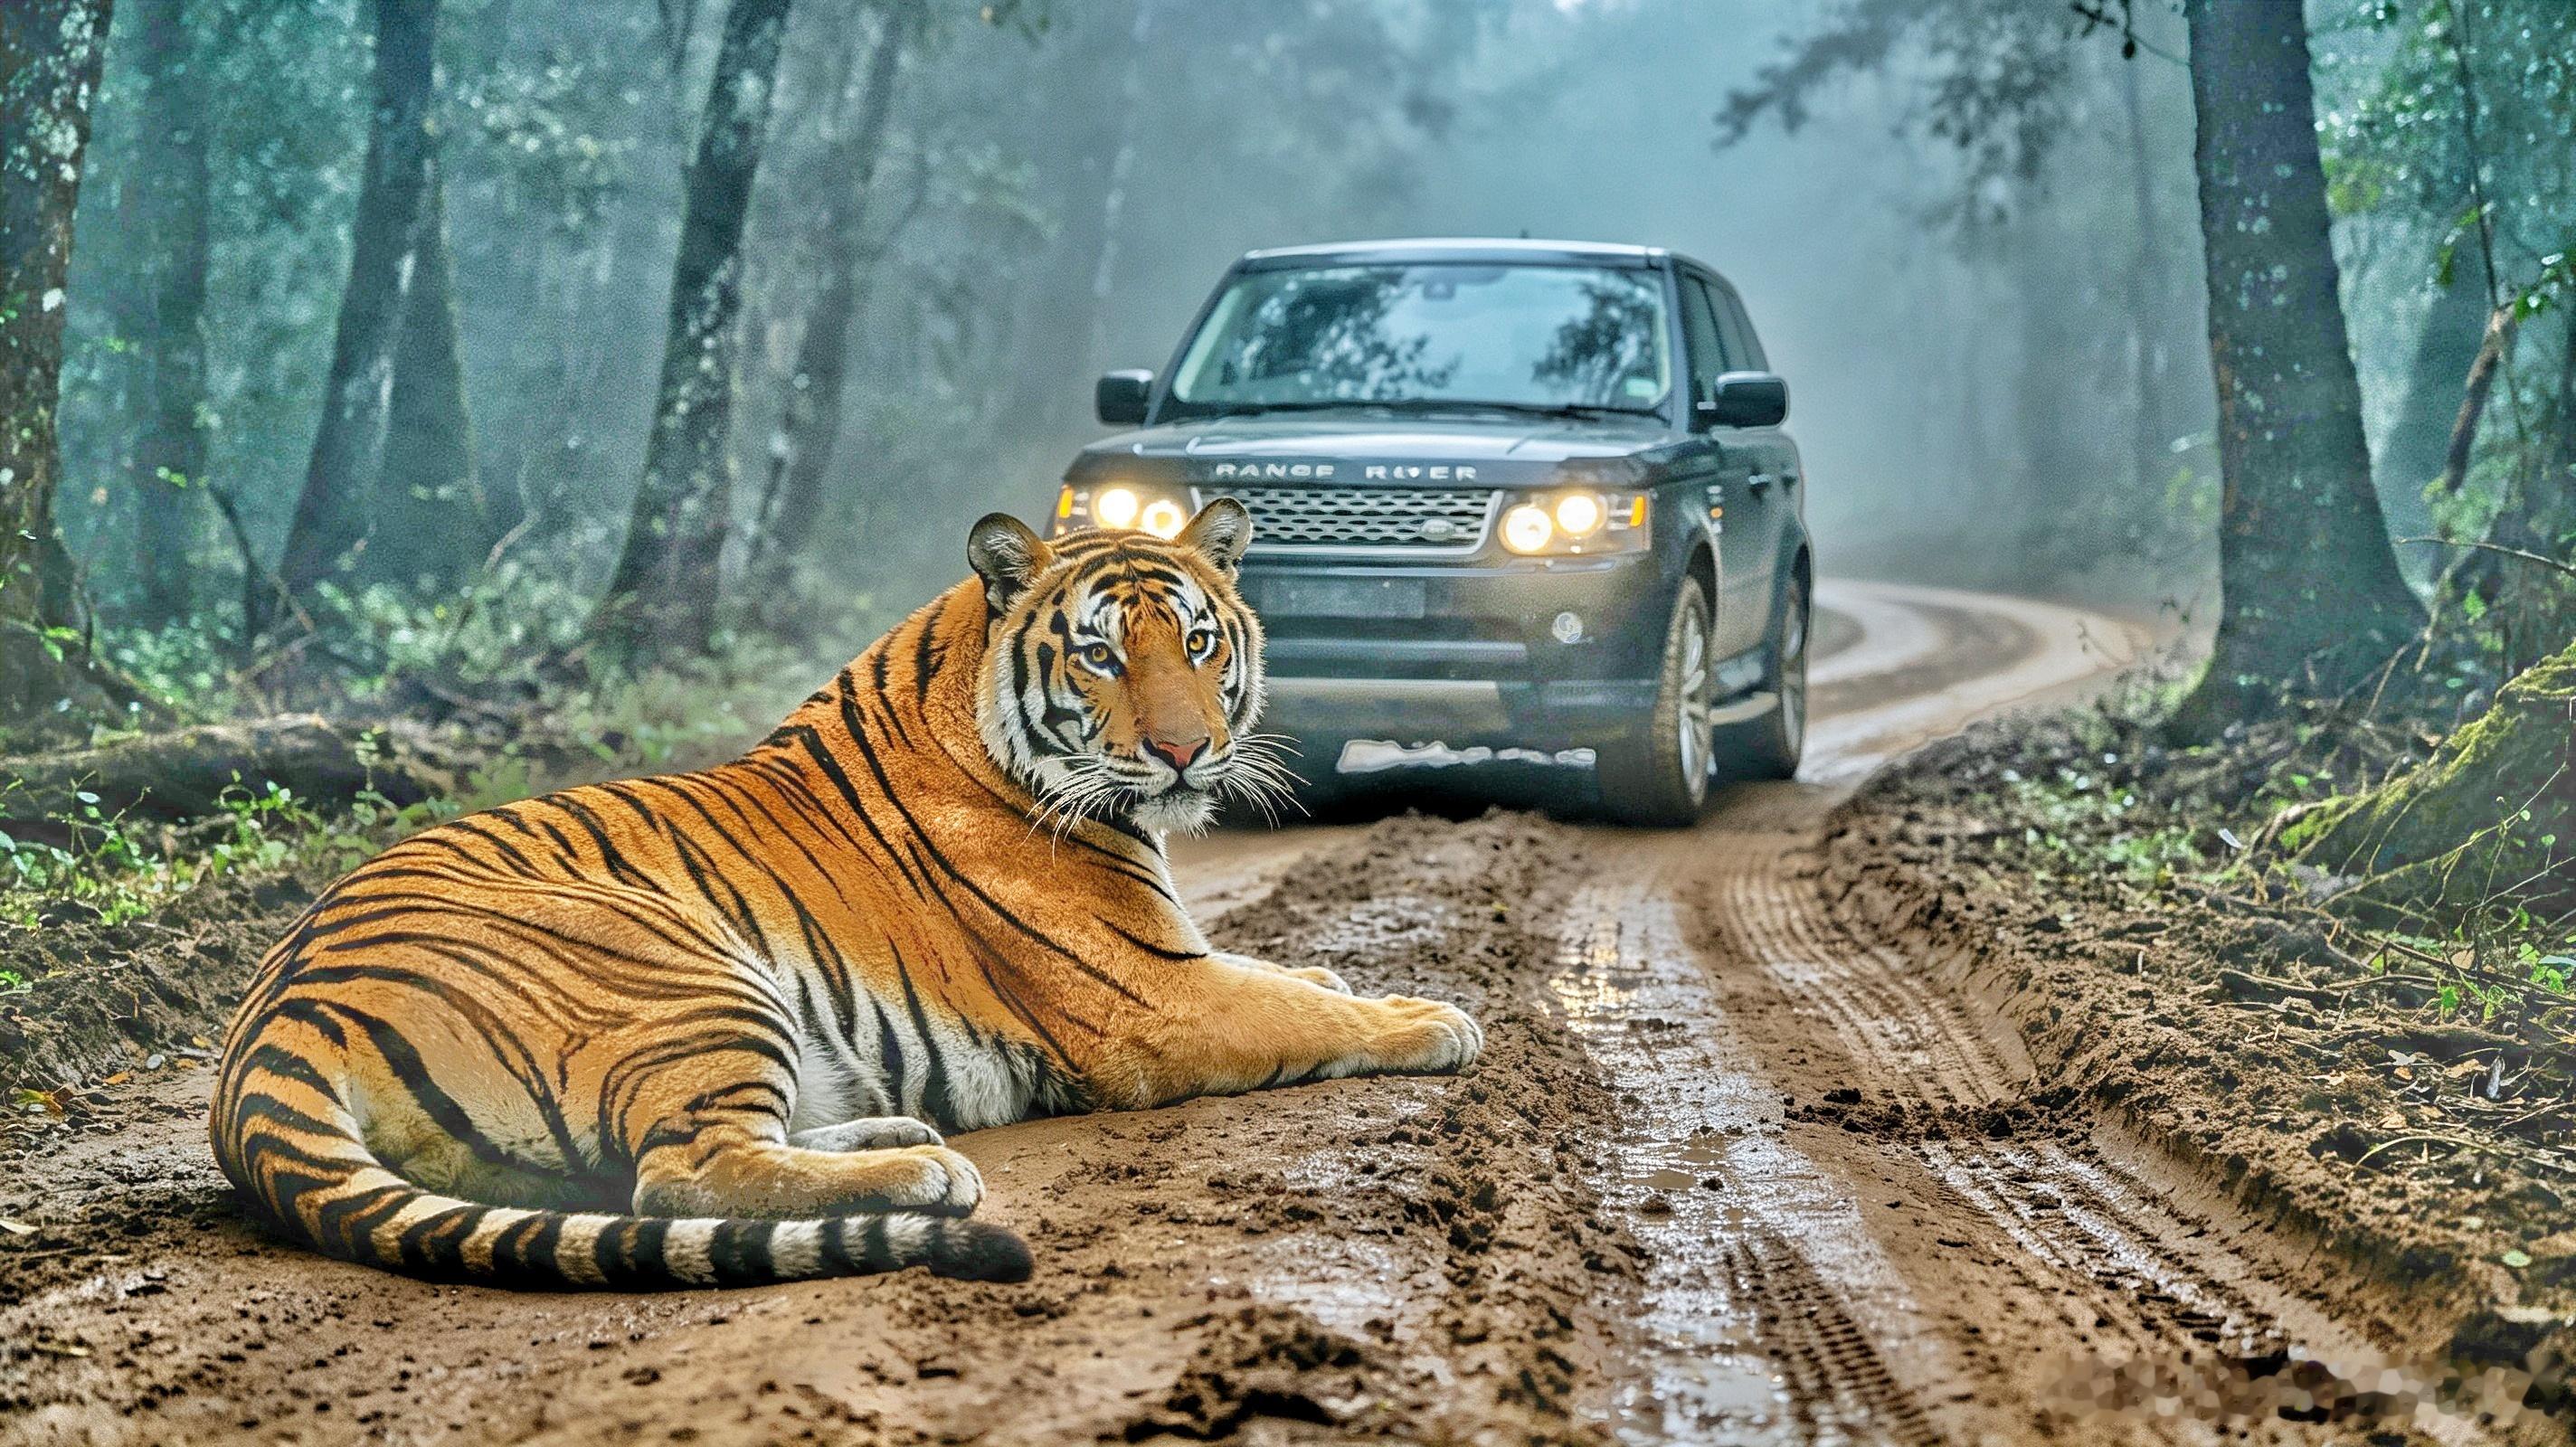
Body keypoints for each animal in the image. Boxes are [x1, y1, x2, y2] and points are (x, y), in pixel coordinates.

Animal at [210, 500, 1483, 1289]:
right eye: (1102, 655)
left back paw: (893, 1126)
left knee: (629, 1172)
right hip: (686, 970)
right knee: (680, 1173)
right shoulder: (1157, 1000)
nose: (1184, 753)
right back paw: (921, 1166)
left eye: (1201, 642)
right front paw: (1437, 1017)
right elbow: (1300, 1008)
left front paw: (1348, 974)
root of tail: (270, 1019)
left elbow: (1295, 975)